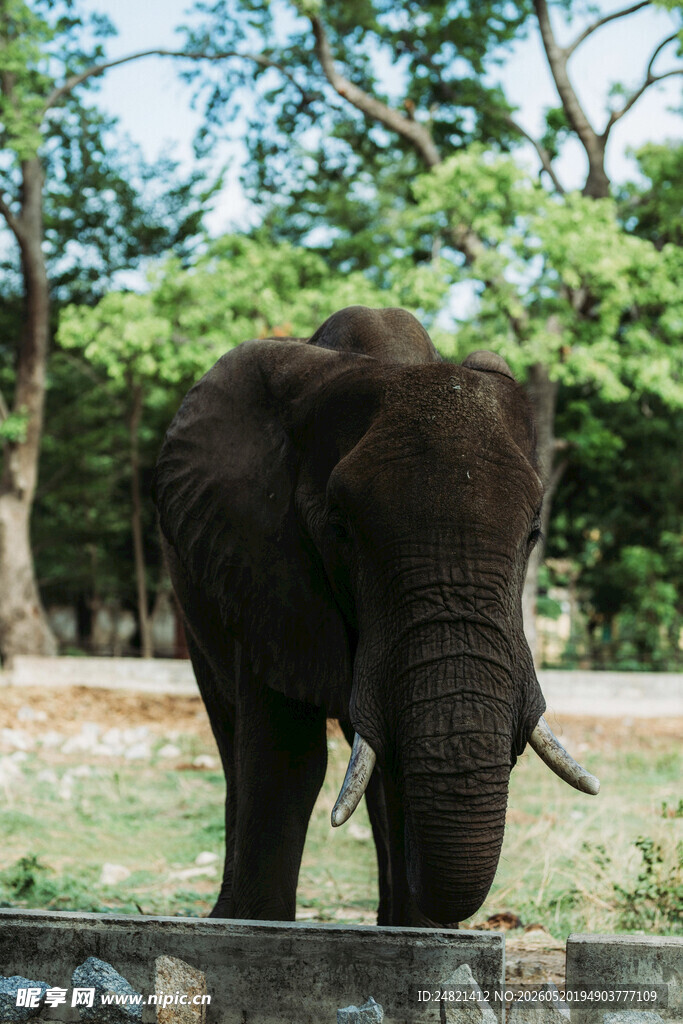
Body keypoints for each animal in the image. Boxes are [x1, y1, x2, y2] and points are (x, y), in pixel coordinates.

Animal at [152, 305, 599, 927]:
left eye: (534, 533)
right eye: (340, 530)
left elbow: (391, 766)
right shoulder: (262, 566)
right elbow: (286, 760)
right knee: (231, 732)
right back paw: (223, 917)